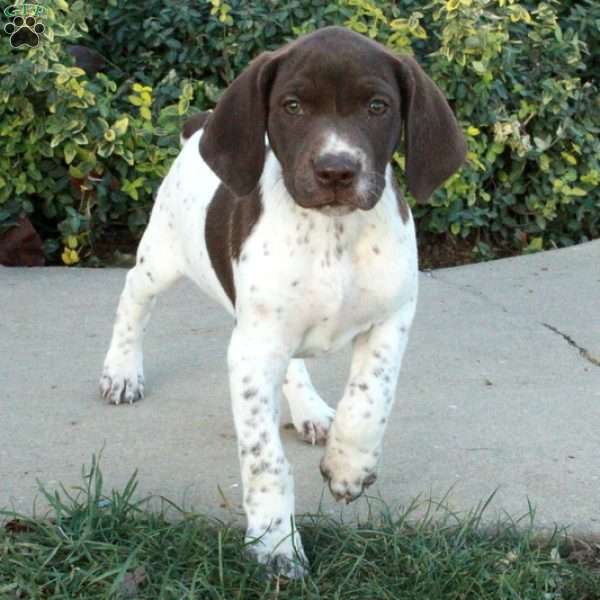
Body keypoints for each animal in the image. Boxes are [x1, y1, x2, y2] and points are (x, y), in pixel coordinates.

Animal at [99, 27, 464, 576]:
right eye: (293, 106)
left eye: (377, 106)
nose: (336, 170)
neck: (333, 234)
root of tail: (198, 127)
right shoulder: (252, 352)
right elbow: (264, 457)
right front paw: (275, 542)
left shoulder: (391, 317)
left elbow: (369, 399)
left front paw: (348, 465)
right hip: (163, 258)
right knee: (132, 297)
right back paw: (121, 370)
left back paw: (310, 408)